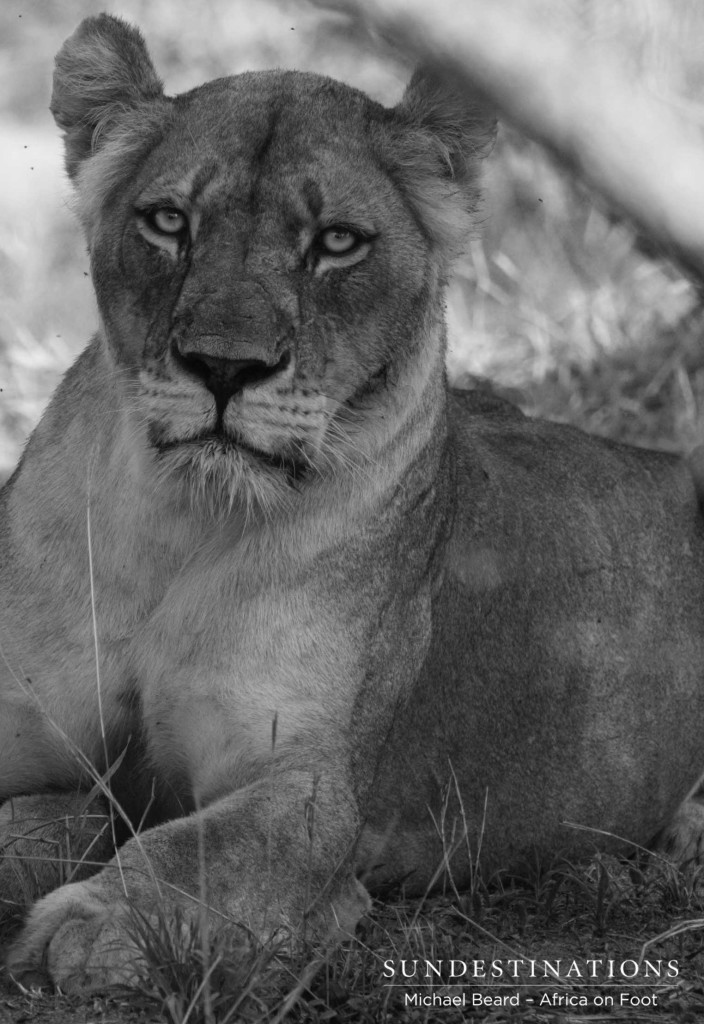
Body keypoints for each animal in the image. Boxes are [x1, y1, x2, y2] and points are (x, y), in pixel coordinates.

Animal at [3, 12, 704, 993]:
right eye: (169, 222)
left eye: (336, 242)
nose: (223, 368)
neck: (183, 524)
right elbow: (59, 814)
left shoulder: (310, 798)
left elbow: (192, 852)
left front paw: (88, 925)